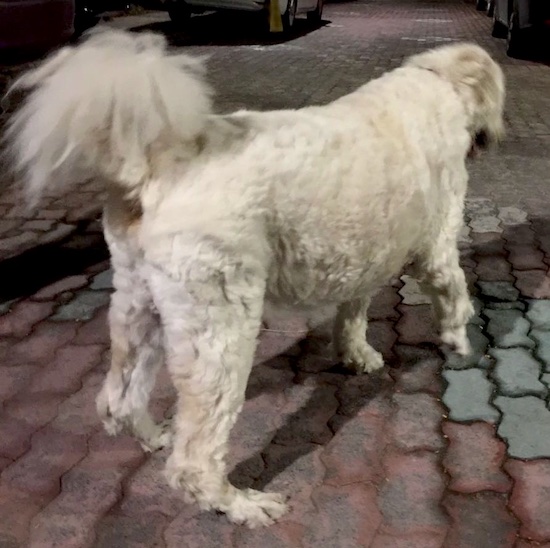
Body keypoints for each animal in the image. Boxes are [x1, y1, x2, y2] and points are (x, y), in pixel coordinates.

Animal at [5, 30, 504, 528]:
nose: (497, 136)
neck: (437, 81)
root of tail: (153, 165)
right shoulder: (436, 244)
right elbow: (454, 291)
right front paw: (460, 341)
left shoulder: (364, 256)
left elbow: (353, 311)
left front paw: (357, 355)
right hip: (220, 324)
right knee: (194, 460)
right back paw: (239, 504)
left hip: (138, 304)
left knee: (118, 401)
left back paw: (155, 435)